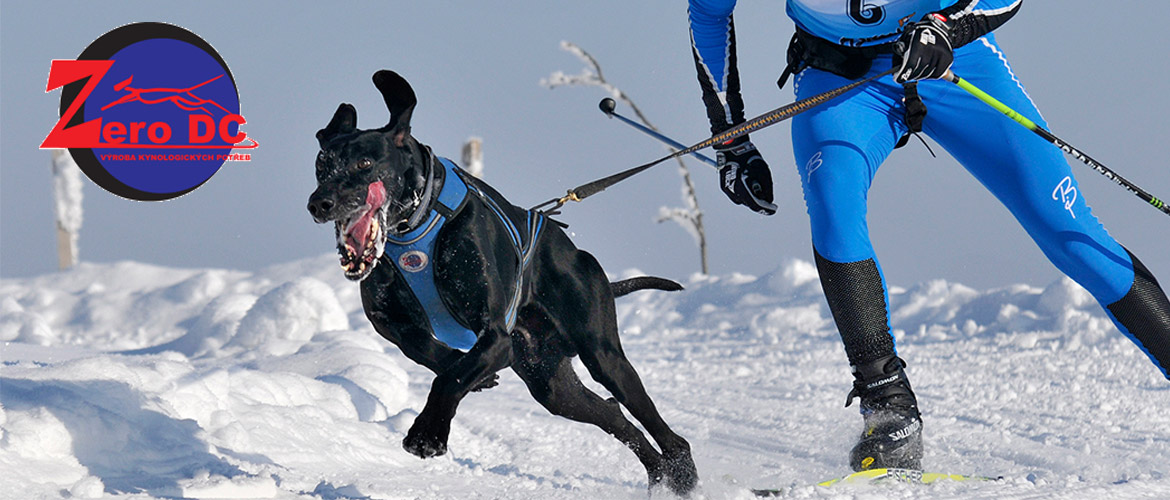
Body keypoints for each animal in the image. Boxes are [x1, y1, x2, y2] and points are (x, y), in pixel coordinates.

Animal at [306, 70, 697, 496]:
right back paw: (659, 474)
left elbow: (449, 379)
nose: (319, 204)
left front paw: (427, 435)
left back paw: (683, 473)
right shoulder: (393, 323)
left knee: (653, 420)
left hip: (602, 355)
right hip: (553, 387)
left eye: (364, 162)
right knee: (617, 419)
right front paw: (470, 373)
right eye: (322, 165)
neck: (417, 224)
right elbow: (430, 353)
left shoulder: (494, 335)